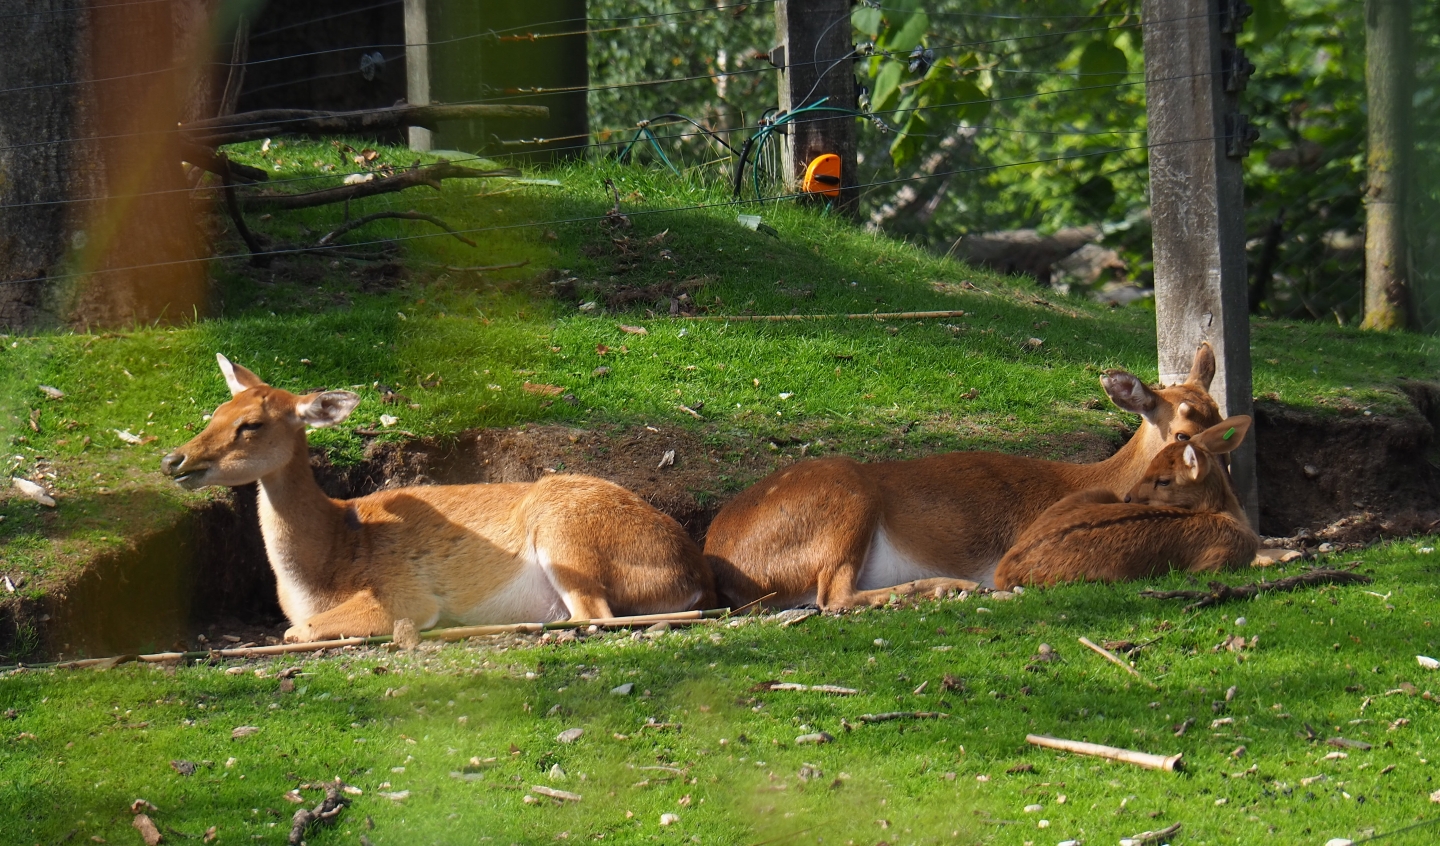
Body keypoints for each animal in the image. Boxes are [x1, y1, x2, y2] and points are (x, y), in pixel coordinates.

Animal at [160, 355, 715, 643]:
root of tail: (694, 575)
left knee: (594, 615)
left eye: (251, 424)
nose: (175, 460)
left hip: (567, 537)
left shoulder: (402, 594)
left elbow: (298, 633)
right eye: (216, 410)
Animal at [702, 344, 1224, 610]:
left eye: (1222, 417)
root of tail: (718, 552)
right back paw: (953, 587)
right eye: (1181, 434)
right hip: (845, 498)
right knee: (834, 595)